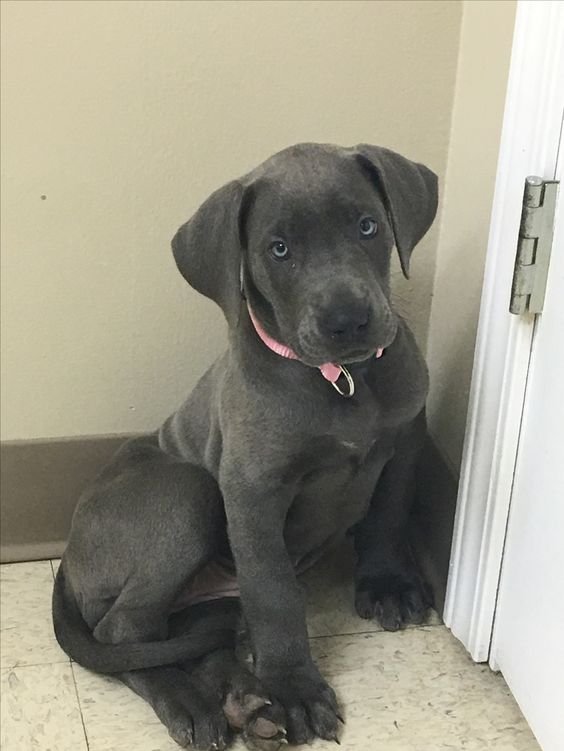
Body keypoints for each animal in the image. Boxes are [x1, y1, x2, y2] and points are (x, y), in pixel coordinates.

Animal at [53, 142, 438, 751]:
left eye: (367, 226)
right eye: (278, 249)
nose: (348, 321)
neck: (343, 382)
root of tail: (68, 562)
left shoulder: (404, 441)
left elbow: (388, 514)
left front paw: (389, 584)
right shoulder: (254, 491)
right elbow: (274, 591)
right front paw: (295, 688)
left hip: (204, 606)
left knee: (186, 638)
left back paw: (247, 702)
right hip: (188, 493)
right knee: (123, 633)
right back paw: (197, 704)